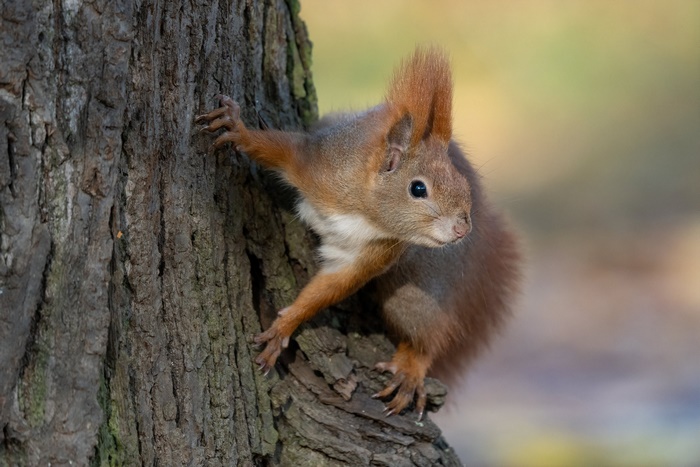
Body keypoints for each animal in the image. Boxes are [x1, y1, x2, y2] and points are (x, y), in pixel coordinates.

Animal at [197, 46, 520, 420]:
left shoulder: (378, 252)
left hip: (421, 293)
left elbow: (332, 287)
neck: (366, 209)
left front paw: (286, 325)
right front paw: (239, 130)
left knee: (428, 335)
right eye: (418, 188)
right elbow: (280, 148)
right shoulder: (318, 162)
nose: (462, 227)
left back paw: (411, 369)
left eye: (464, 185)